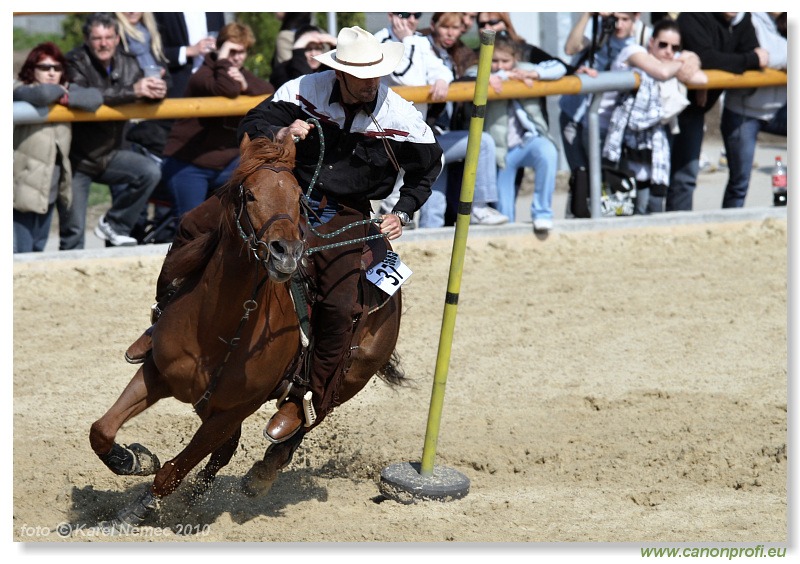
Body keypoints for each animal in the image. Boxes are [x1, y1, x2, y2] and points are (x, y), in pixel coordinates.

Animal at [87, 133, 404, 528]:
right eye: (249, 194)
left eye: (298, 197)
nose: (286, 253)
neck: (217, 327)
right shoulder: (157, 372)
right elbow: (101, 430)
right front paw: (133, 460)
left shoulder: (231, 411)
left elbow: (173, 470)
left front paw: (137, 509)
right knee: (226, 451)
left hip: (349, 380)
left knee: (307, 417)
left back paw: (263, 472)